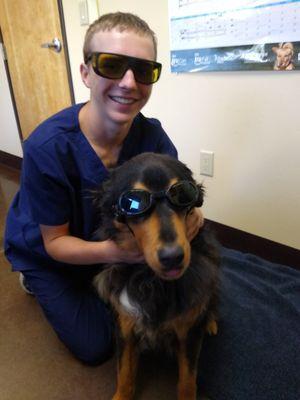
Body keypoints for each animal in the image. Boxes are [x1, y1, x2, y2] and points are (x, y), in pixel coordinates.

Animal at [94, 152, 220, 400]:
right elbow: (124, 373)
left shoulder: (189, 332)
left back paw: (210, 322)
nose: (172, 257)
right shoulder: (125, 325)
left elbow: (187, 381)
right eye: (133, 202)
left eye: (182, 193)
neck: (152, 281)